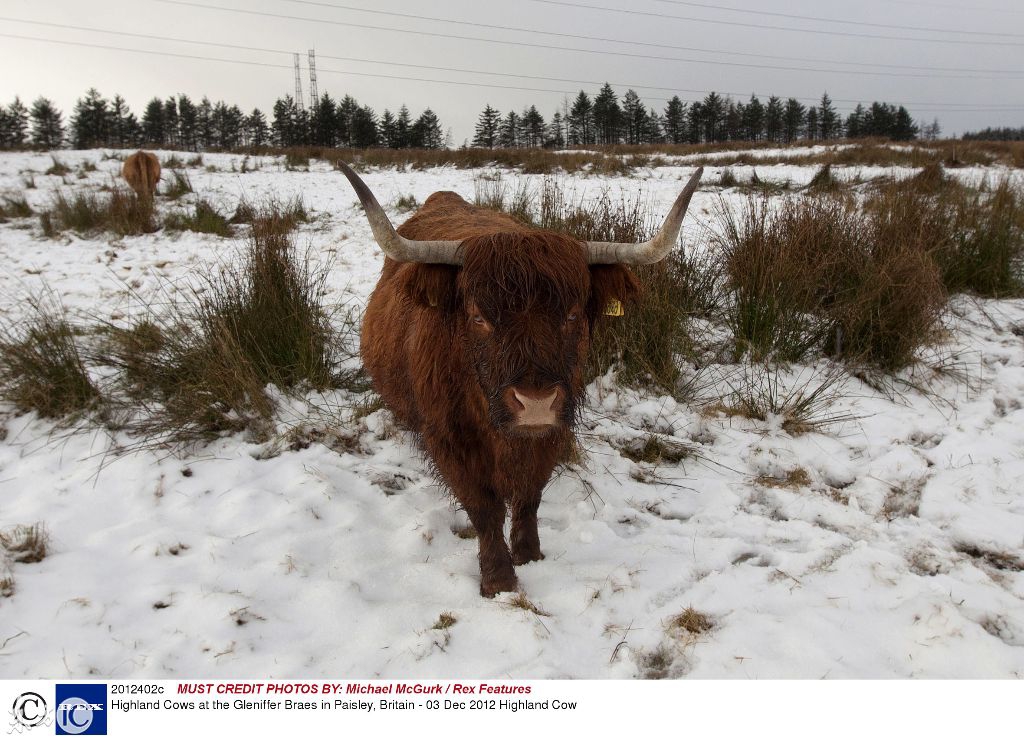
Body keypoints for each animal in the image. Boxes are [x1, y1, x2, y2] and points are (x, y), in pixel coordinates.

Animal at [337, 161, 704, 597]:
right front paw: (498, 578)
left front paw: (529, 554)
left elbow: (530, 495)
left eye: (572, 314)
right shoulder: (449, 437)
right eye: (478, 316)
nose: (535, 404)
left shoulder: (555, 428)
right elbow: (484, 507)